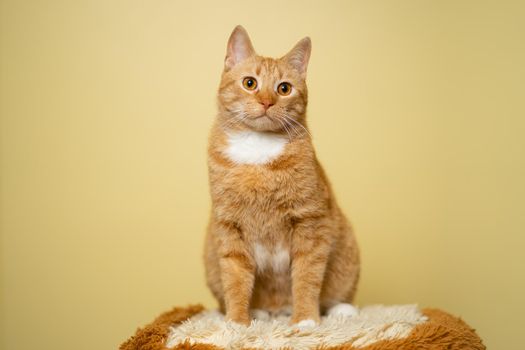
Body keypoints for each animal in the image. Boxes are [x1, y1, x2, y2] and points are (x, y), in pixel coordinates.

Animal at [203, 25, 358, 328]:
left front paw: (306, 320)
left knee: (335, 295)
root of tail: (279, 308)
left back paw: (340, 311)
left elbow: (307, 275)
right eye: (250, 83)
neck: (257, 152)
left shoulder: (310, 221)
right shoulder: (229, 228)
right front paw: (237, 323)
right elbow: (235, 279)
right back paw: (260, 312)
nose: (266, 101)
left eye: (284, 89)